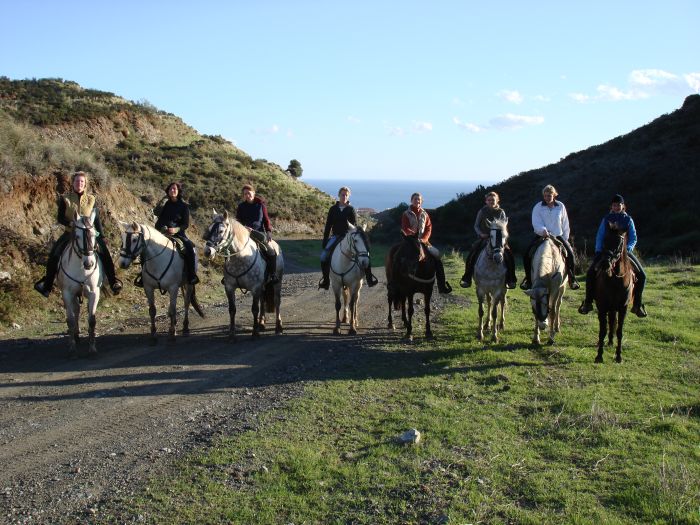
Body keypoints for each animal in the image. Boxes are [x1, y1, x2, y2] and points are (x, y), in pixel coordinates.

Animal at [57, 212, 102, 356]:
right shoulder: (67, 294)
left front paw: (92, 348)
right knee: (75, 310)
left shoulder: (94, 293)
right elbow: (70, 320)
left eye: (94, 234)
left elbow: (92, 320)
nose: (89, 263)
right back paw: (75, 336)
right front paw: (72, 349)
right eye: (77, 236)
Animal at [202, 210, 284, 340]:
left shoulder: (255, 287)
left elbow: (254, 309)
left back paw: (278, 327)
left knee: (276, 302)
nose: (207, 251)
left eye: (221, 231)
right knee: (262, 301)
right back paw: (261, 323)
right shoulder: (230, 288)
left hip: (277, 283)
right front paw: (231, 335)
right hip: (263, 287)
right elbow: (232, 310)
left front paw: (255, 333)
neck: (240, 258)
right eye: (209, 229)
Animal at [592, 220, 636, 360]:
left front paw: (618, 356)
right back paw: (609, 341)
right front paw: (599, 356)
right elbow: (603, 330)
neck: (616, 281)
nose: (605, 263)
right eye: (605, 240)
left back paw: (611, 342)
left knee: (613, 322)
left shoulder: (623, 308)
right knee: (610, 322)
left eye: (619, 243)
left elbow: (619, 331)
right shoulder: (602, 306)